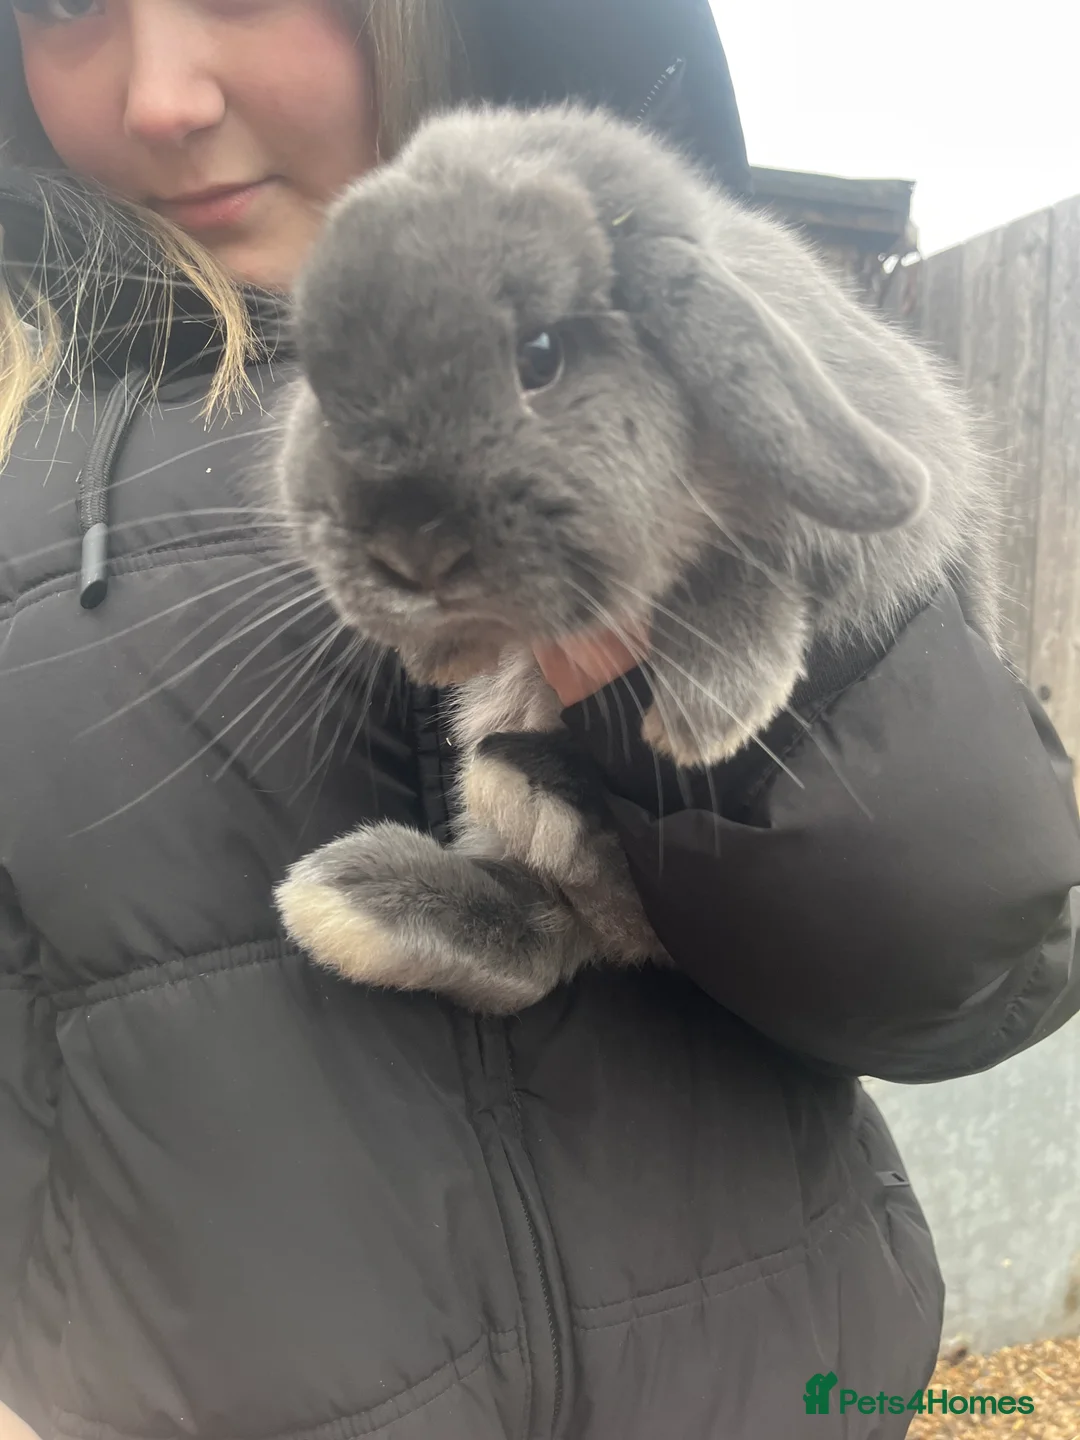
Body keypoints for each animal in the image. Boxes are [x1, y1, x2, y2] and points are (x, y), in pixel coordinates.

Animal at [271, 102, 1001, 1014]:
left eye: (539, 355)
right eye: (326, 378)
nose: (406, 549)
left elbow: (754, 571)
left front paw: (709, 712)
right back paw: (360, 893)